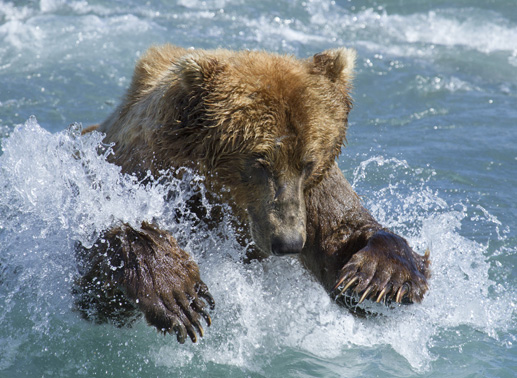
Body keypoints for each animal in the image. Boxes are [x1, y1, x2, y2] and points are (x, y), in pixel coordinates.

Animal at [76, 43, 430, 342]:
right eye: (259, 161)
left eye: (308, 162)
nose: (289, 242)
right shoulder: (142, 171)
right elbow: (98, 276)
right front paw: (179, 294)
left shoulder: (313, 193)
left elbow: (344, 234)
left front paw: (378, 278)